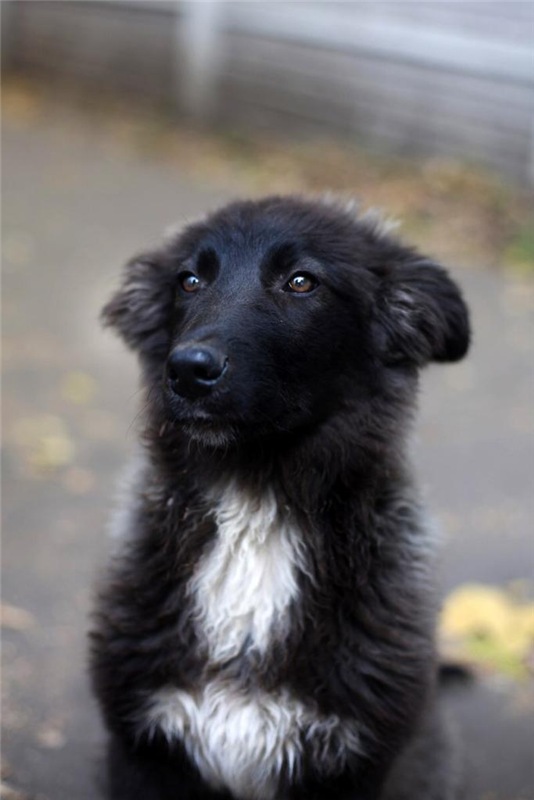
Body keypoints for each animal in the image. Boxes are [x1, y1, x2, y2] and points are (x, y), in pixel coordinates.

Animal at [90, 195, 470, 800]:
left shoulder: (352, 764)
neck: (256, 505)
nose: (188, 370)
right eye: (190, 280)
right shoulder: (142, 750)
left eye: (300, 281)